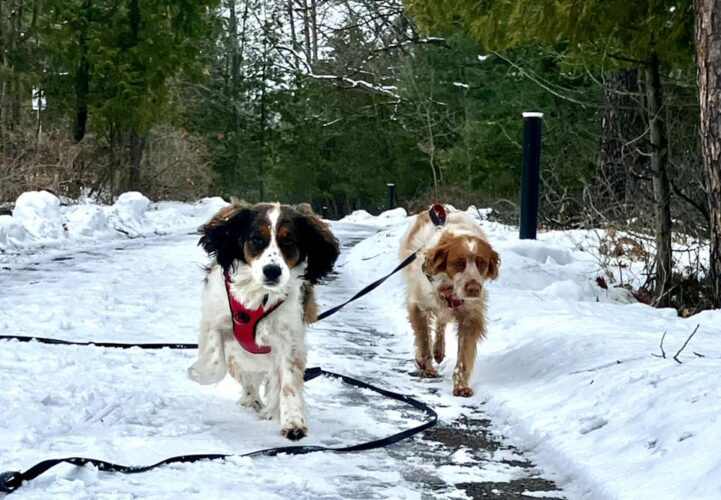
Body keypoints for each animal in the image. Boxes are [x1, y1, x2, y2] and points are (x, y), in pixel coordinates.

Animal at [187, 201, 339, 440]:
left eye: (288, 242)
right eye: (257, 239)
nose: (272, 271)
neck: (259, 294)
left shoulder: (289, 339)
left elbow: (288, 382)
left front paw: (293, 421)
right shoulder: (214, 318)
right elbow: (215, 362)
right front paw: (198, 374)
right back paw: (251, 400)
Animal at [400, 206, 499, 397]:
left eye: (481, 263)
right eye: (459, 263)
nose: (474, 288)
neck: (449, 286)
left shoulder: (470, 316)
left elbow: (463, 358)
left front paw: (461, 386)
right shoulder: (418, 306)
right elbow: (423, 340)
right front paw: (426, 367)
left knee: (441, 323)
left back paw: (439, 350)